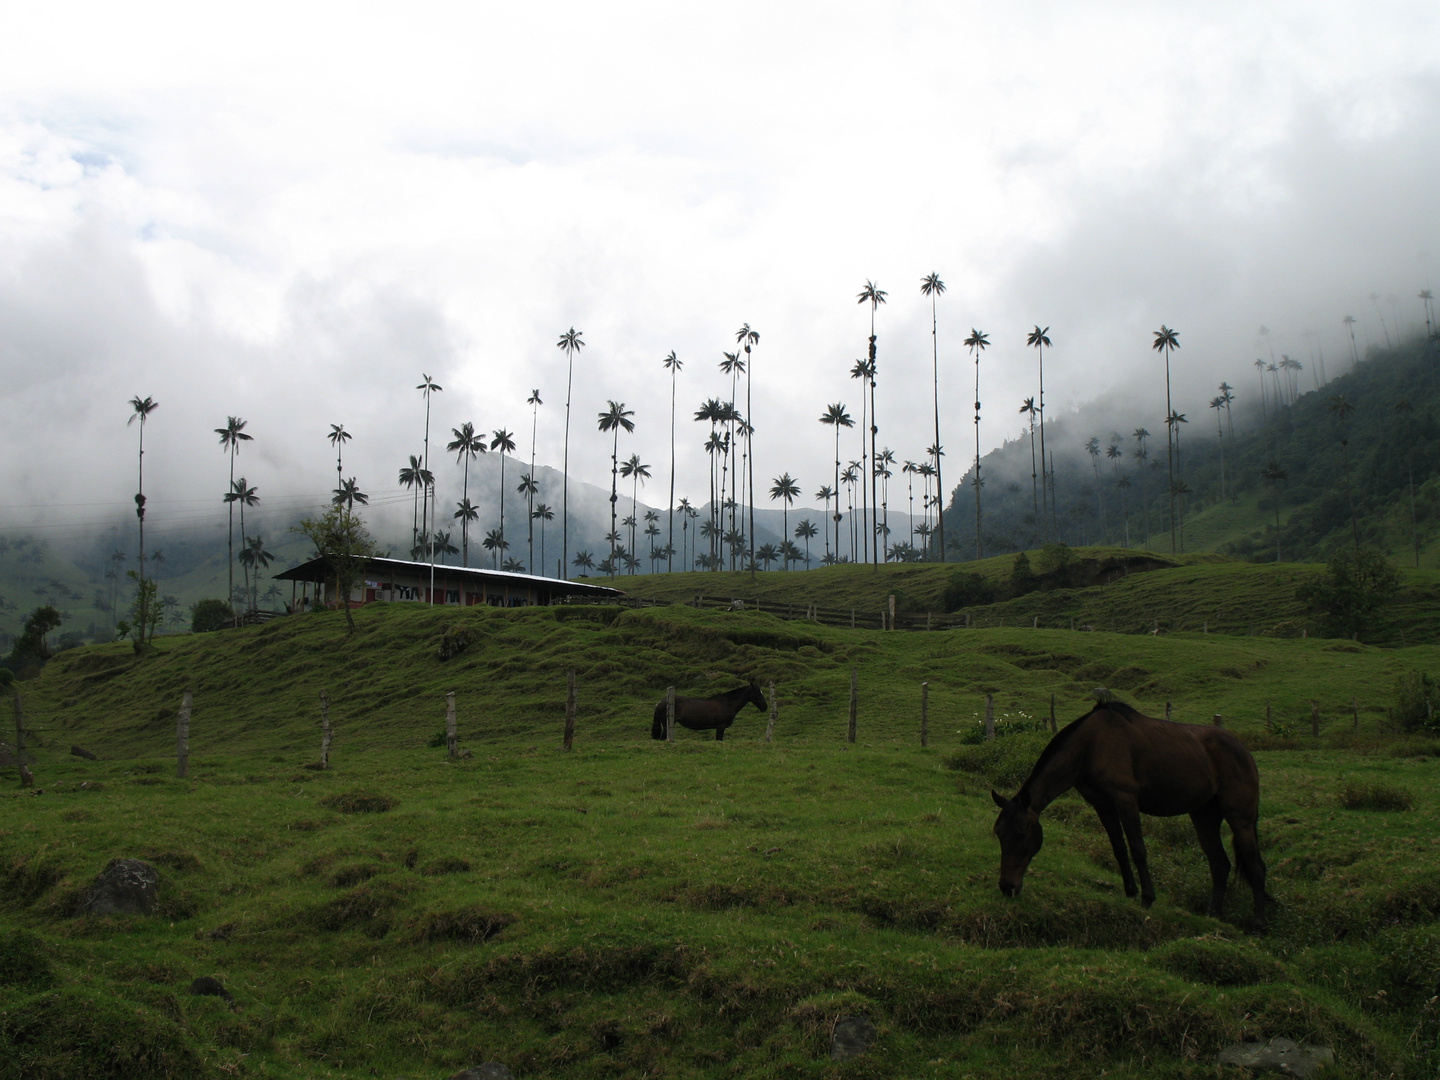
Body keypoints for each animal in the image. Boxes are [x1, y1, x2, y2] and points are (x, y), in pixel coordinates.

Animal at [990, 702, 1272, 933]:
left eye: (1022, 834)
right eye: (999, 835)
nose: (1007, 887)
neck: (1089, 747)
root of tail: (1244, 751)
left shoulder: (1125, 800)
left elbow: (1138, 849)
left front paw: (1147, 897)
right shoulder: (1102, 805)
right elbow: (1118, 849)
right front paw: (1130, 891)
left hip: (1241, 817)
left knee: (1255, 866)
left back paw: (1259, 923)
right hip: (1204, 815)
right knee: (1219, 864)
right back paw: (1213, 916)